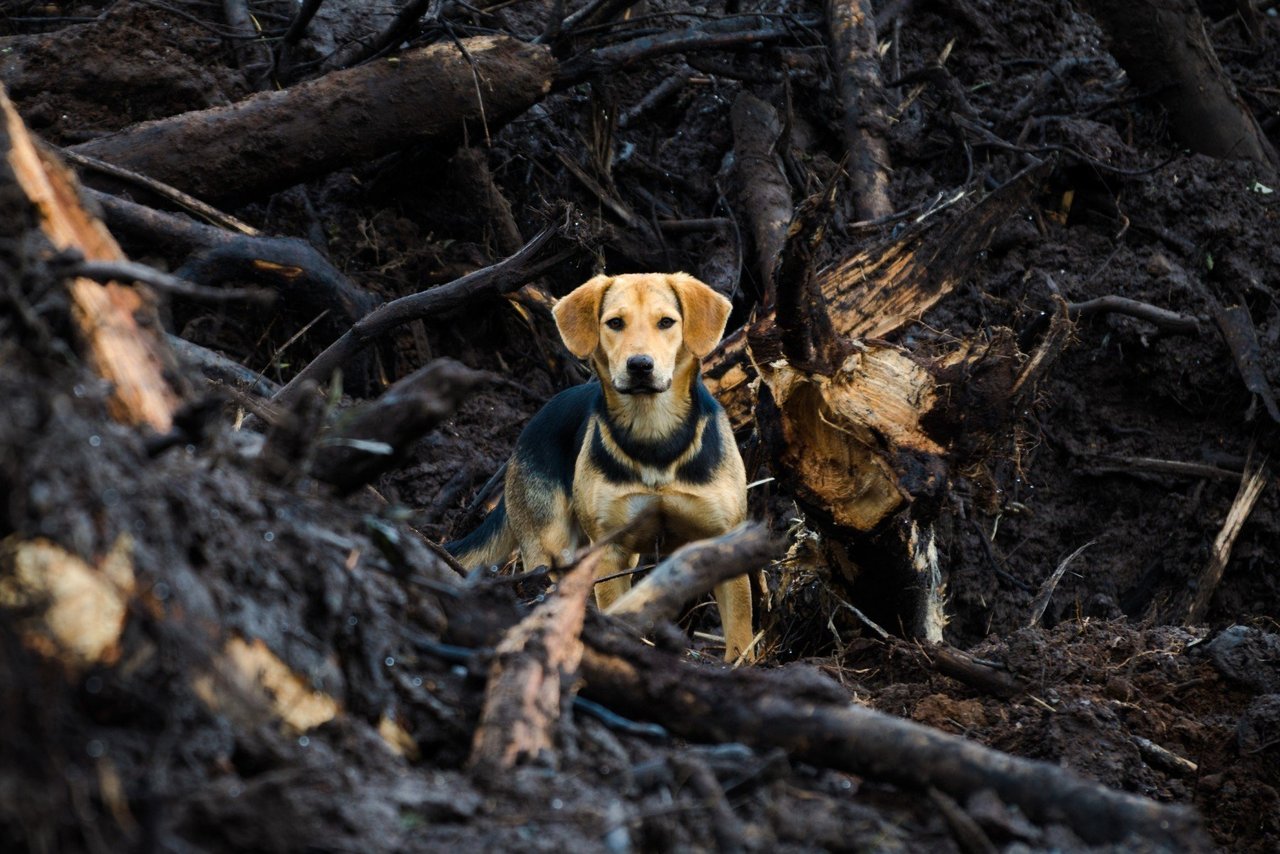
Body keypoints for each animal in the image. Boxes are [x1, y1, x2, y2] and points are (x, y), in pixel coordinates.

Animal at [448, 273, 752, 660]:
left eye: (666, 322)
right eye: (615, 323)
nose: (640, 365)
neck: (654, 436)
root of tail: (529, 428)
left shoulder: (725, 539)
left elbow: (740, 632)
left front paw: (740, 665)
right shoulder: (609, 549)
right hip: (550, 546)